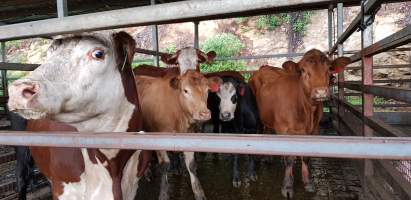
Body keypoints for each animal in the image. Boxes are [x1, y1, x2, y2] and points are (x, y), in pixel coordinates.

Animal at [7, 31, 150, 200]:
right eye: (49, 53)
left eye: (98, 53)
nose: (18, 89)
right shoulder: (62, 189)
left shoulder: (132, 187)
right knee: (22, 177)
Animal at [136, 70, 222, 200]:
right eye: (185, 90)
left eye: (207, 89)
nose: (205, 114)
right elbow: (164, 165)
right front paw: (164, 193)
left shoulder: (188, 137)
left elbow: (191, 165)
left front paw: (199, 193)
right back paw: (147, 173)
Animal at [249, 49, 350, 198]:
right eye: (303, 70)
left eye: (329, 69)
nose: (321, 92)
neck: (306, 110)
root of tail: (264, 67)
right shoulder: (283, 130)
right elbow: (289, 158)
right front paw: (287, 185)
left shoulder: (314, 130)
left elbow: (306, 156)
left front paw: (307, 181)